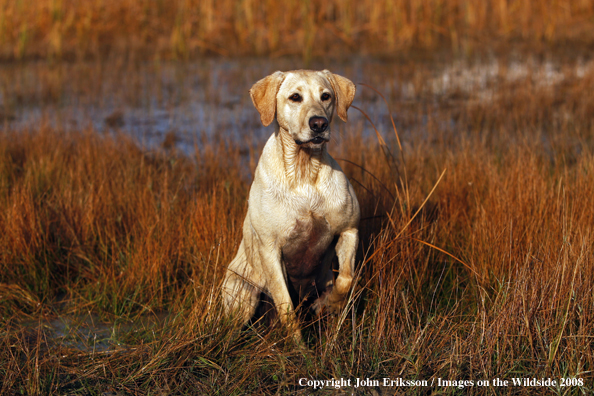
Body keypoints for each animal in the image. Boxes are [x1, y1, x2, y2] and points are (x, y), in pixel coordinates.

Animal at [221, 69, 356, 342]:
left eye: (326, 96)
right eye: (295, 97)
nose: (319, 124)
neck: (304, 170)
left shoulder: (349, 229)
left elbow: (346, 278)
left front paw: (331, 303)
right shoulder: (270, 250)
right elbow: (286, 309)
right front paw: (300, 349)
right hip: (243, 295)